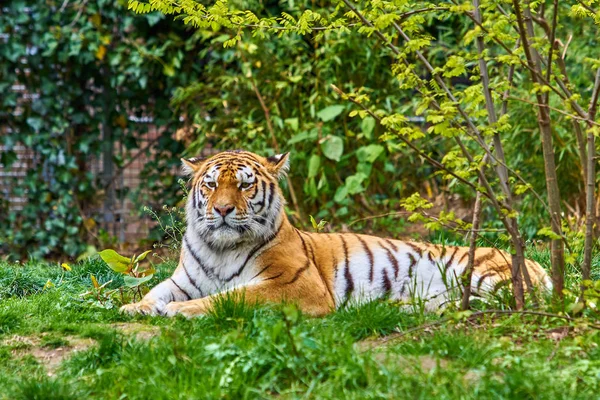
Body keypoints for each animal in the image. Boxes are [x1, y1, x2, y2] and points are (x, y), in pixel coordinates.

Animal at [120, 150, 552, 318]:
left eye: (244, 185)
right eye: (210, 185)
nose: (223, 210)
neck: (220, 249)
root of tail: (538, 264)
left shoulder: (293, 285)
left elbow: (231, 297)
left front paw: (179, 311)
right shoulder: (184, 279)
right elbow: (155, 291)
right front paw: (134, 307)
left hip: (484, 276)